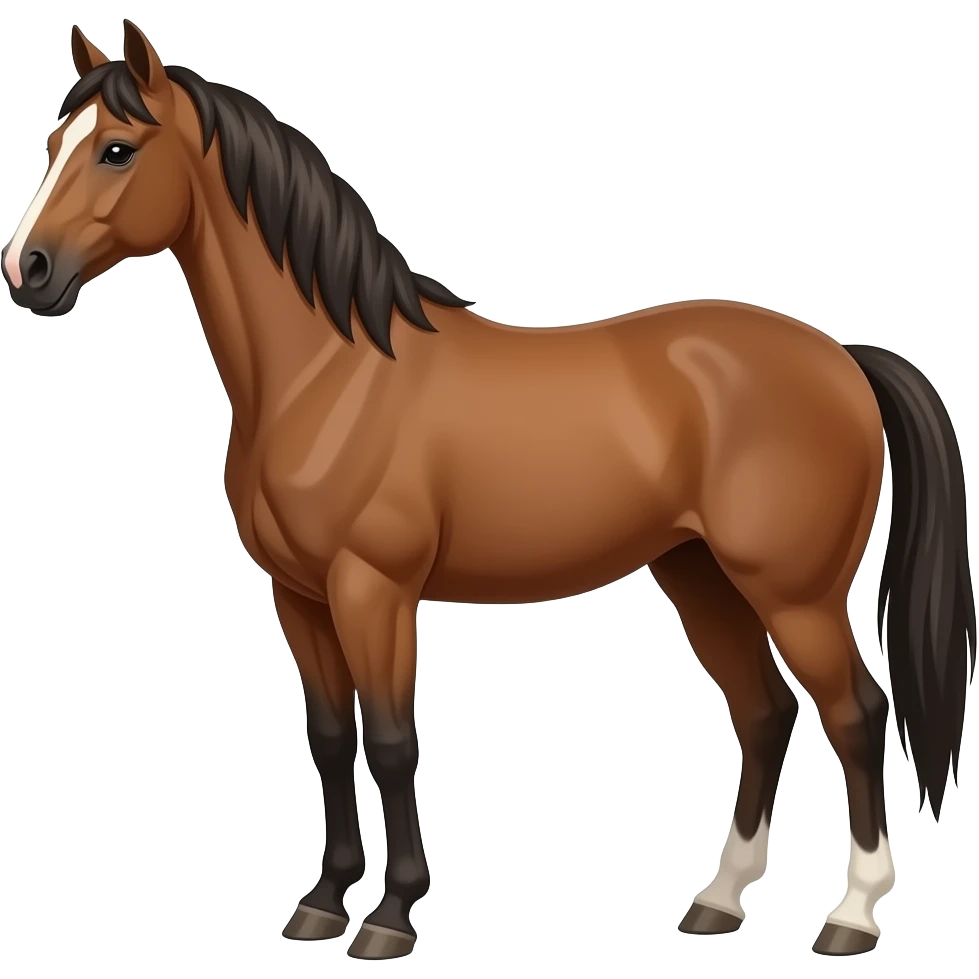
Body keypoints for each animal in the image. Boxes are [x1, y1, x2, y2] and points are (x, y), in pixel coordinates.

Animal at [3, 20, 974, 961]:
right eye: (53, 141)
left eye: (117, 149)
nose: (28, 270)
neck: (330, 371)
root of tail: (841, 357)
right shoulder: (298, 594)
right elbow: (330, 737)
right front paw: (320, 902)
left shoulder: (374, 589)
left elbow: (391, 740)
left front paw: (390, 915)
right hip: (698, 574)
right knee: (765, 711)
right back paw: (716, 902)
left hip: (793, 592)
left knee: (854, 713)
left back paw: (850, 915)